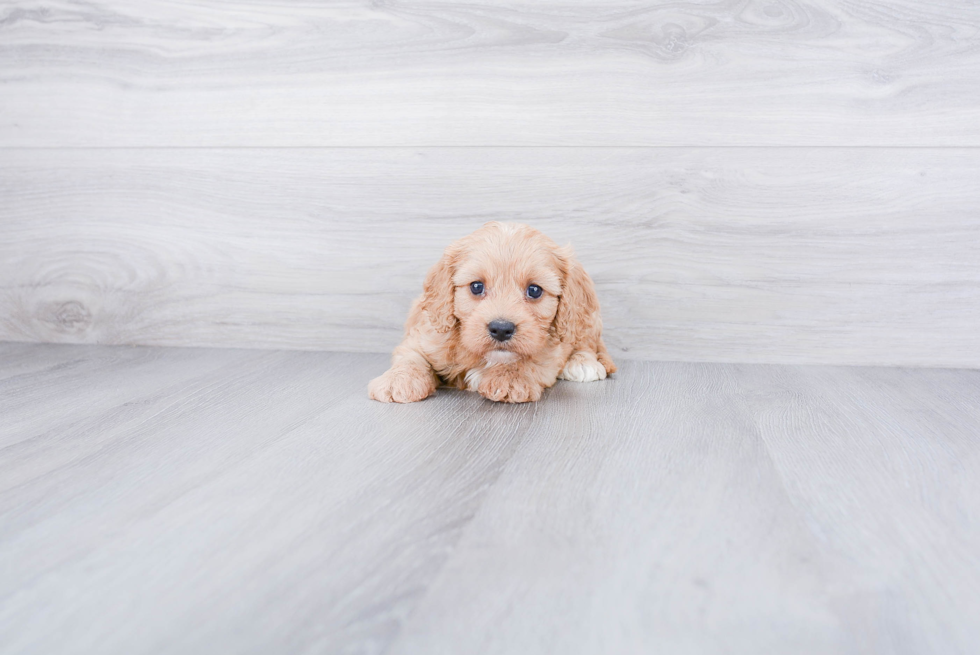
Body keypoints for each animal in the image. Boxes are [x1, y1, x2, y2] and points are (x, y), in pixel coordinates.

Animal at [368, 223, 612, 402]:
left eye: (534, 290)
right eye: (477, 286)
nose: (501, 329)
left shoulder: (548, 348)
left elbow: (530, 357)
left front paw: (509, 378)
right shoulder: (424, 335)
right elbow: (410, 357)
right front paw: (398, 380)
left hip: (589, 319)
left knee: (588, 343)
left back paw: (583, 363)